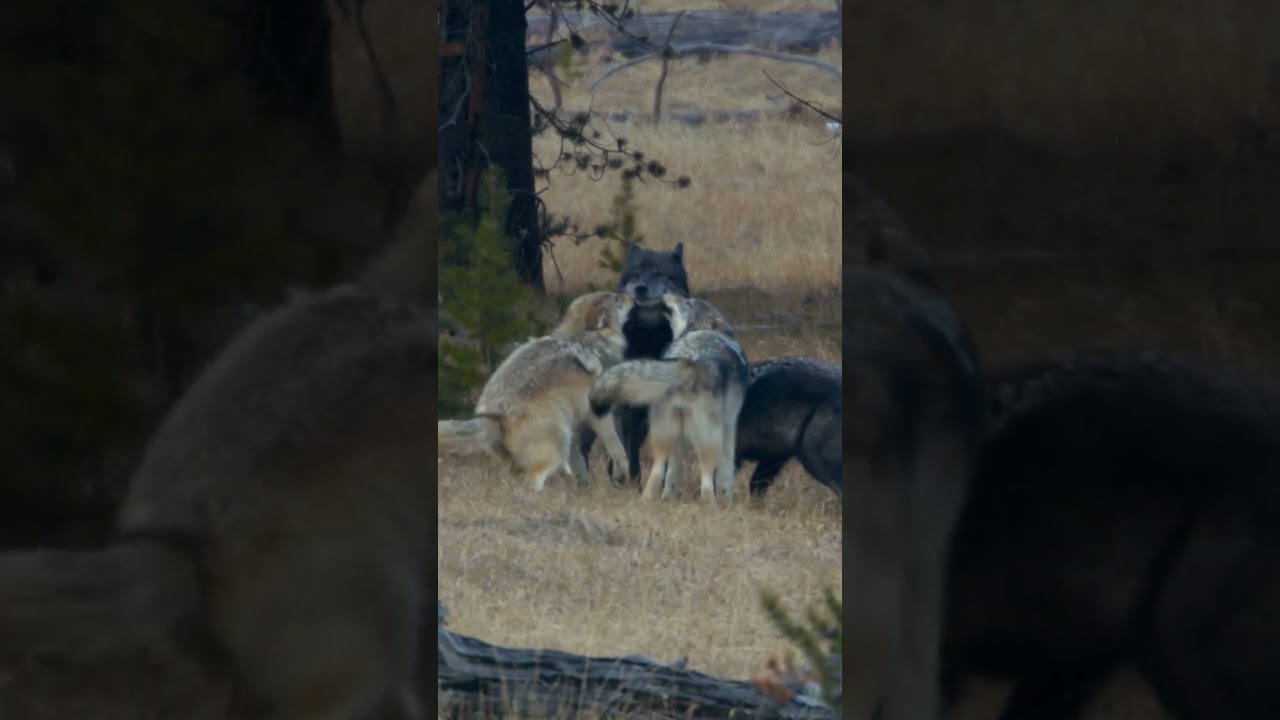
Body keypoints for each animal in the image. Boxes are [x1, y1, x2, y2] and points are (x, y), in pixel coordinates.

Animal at [437, 291, 633, 491]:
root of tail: (490, 418)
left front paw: (582, 490)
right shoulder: (597, 413)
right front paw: (620, 473)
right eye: (617, 298)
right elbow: (616, 447)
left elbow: (578, 463)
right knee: (531, 483)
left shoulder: (574, 426)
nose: (633, 297)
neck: (587, 341)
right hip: (558, 442)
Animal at [579, 242, 692, 484]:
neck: (648, 336)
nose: (640, 288)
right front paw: (632, 481)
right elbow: (629, 447)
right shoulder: (626, 405)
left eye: (659, 273)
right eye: (636, 274)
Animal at [589, 293, 748, 508]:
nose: (667, 295)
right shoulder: (729, 427)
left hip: (663, 436)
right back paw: (710, 507)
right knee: (706, 480)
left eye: (687, 302)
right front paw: (726, 501)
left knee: (656, 472)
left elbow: (673, 473)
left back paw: (649, 501)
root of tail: (688, 364)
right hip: (707, 440)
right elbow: (726, 472)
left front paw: (671, 495)